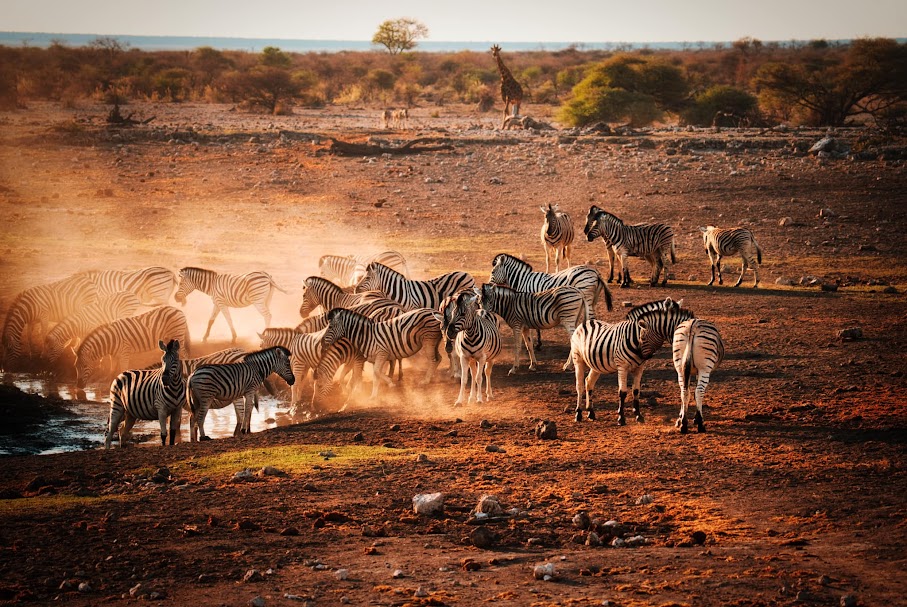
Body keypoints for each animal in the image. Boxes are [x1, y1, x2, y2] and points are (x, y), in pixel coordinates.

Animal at [567, 297, 694, 425]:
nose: (642, 354)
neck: (634, 336)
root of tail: (585, 322)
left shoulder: (640, 367)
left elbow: (636, 390)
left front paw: (638, 415)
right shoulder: (622, 367)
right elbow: (622, 392)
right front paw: (621, 418)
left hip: (596, 365)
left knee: (589, 382)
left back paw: (591, 412)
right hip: (578, 360)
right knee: (579, 386)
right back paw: (578, 414)